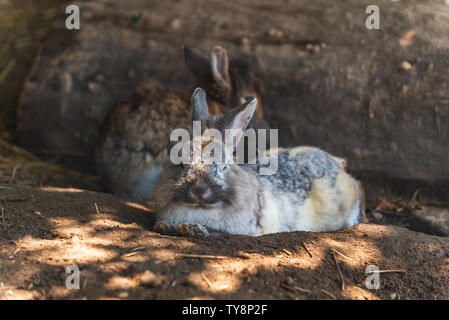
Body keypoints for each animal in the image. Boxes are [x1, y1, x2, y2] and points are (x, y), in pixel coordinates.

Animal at [154, 87, 364, 238]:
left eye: (223, 167)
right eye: (181, 164)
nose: (199, 191)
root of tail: (338, 165)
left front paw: (193, 229)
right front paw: (165, 226)